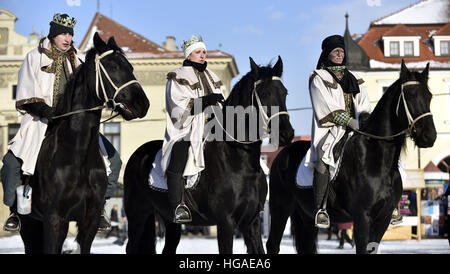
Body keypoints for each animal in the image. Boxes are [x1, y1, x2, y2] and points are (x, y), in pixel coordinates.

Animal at [18, 33, 149, 254]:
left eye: (130, 67)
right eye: (112, 66)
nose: (142, 104)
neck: (77, 154)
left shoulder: (90, 220)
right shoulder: (55, 219)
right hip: (28, 224)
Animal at [125, 56, 294, 255]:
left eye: (284, 92)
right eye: (264, 93)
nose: (286, 134)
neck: (240, 161)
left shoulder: (251, 222)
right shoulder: (226, 223)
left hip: (169, 220)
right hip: (137, 215)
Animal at [268, 61, 436, 254]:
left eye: (429, 96)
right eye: (410, 95)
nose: (429, 136)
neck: (377, 159)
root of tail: (282, 154)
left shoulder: (383, 218)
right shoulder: (362, 217)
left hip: (306, 217)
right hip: (280, 208)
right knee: (272, 244)